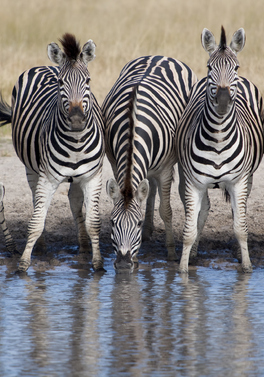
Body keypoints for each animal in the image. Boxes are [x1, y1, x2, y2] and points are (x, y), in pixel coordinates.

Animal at [0, 33, 104, 272]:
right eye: (61, 83)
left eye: (88, 81)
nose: (76, 120)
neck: (76, 143)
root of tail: (47, 65)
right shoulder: (46, 178)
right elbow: (36, 222)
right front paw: (23, 266)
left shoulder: (92, 177)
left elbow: (93, 223)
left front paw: (98, 265)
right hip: (31, 168)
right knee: (35, 202)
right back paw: (42, 247)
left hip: (77, 177)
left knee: (74, 200)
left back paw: (83, 246)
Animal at [102, 55, 197, 270]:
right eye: (112, 222)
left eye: (136, 223)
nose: (123, 263)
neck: (132, 127)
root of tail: (160, 56)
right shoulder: (114, 162)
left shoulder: (166, 169)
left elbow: (166, 211)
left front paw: (171, 252)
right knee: (149, 190)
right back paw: (148, 231)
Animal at [175, 27, 264, 274]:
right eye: (209, 67)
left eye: (236, 67)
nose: (223, 100)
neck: (218, 138)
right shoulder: (193, 183)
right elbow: (189, 230)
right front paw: (183, 271)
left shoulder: (238, 182)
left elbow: (241, 227)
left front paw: (247, 267)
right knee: (204, 210)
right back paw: (195, 253)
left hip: (248, 176)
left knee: (238, 212)